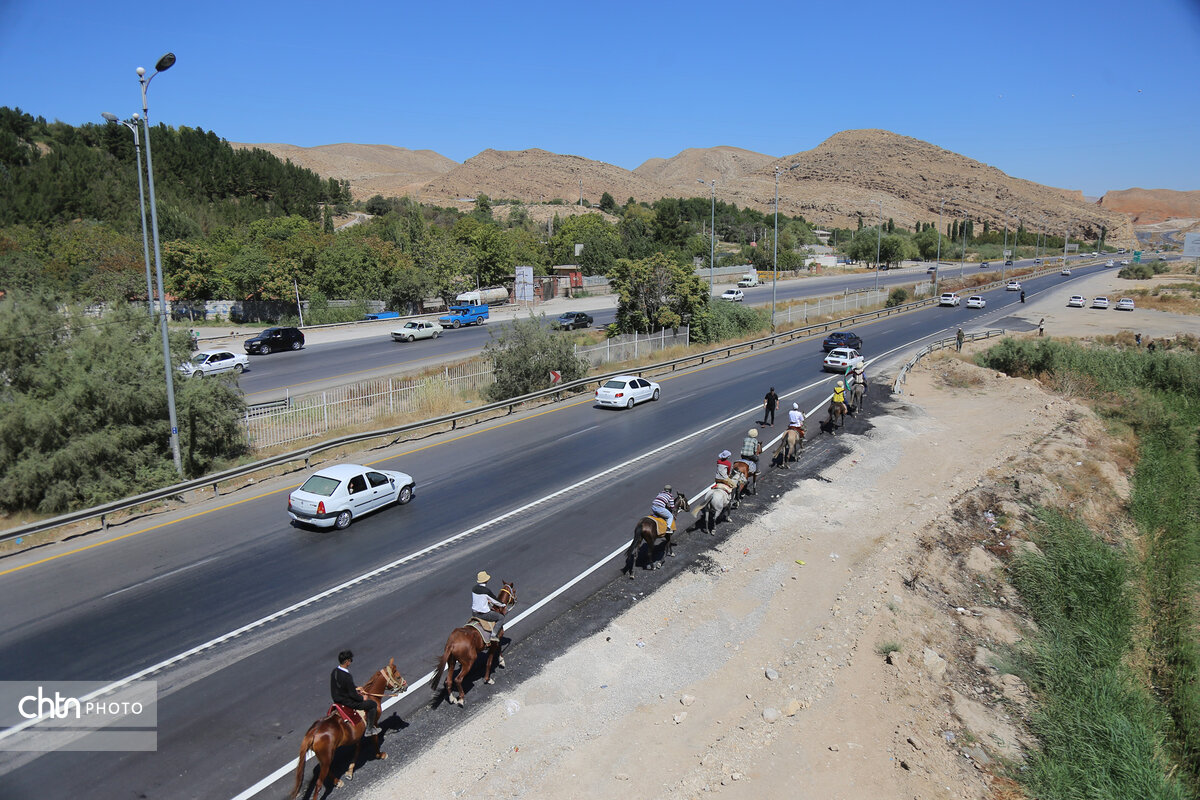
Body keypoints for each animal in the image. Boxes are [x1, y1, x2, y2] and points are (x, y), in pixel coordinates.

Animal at [290, 662, 408, 796]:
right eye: (398, 677)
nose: (405, 686)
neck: (371, 696)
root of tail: (313, 732)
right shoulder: (373, 724)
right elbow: (374, 740)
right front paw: (380, 755)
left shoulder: (357, 736)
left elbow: (357, 750)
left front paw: (350, 771)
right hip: (327, 758)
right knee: (319, 784)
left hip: (324, 758)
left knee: (327, 770)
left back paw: (338, 781)